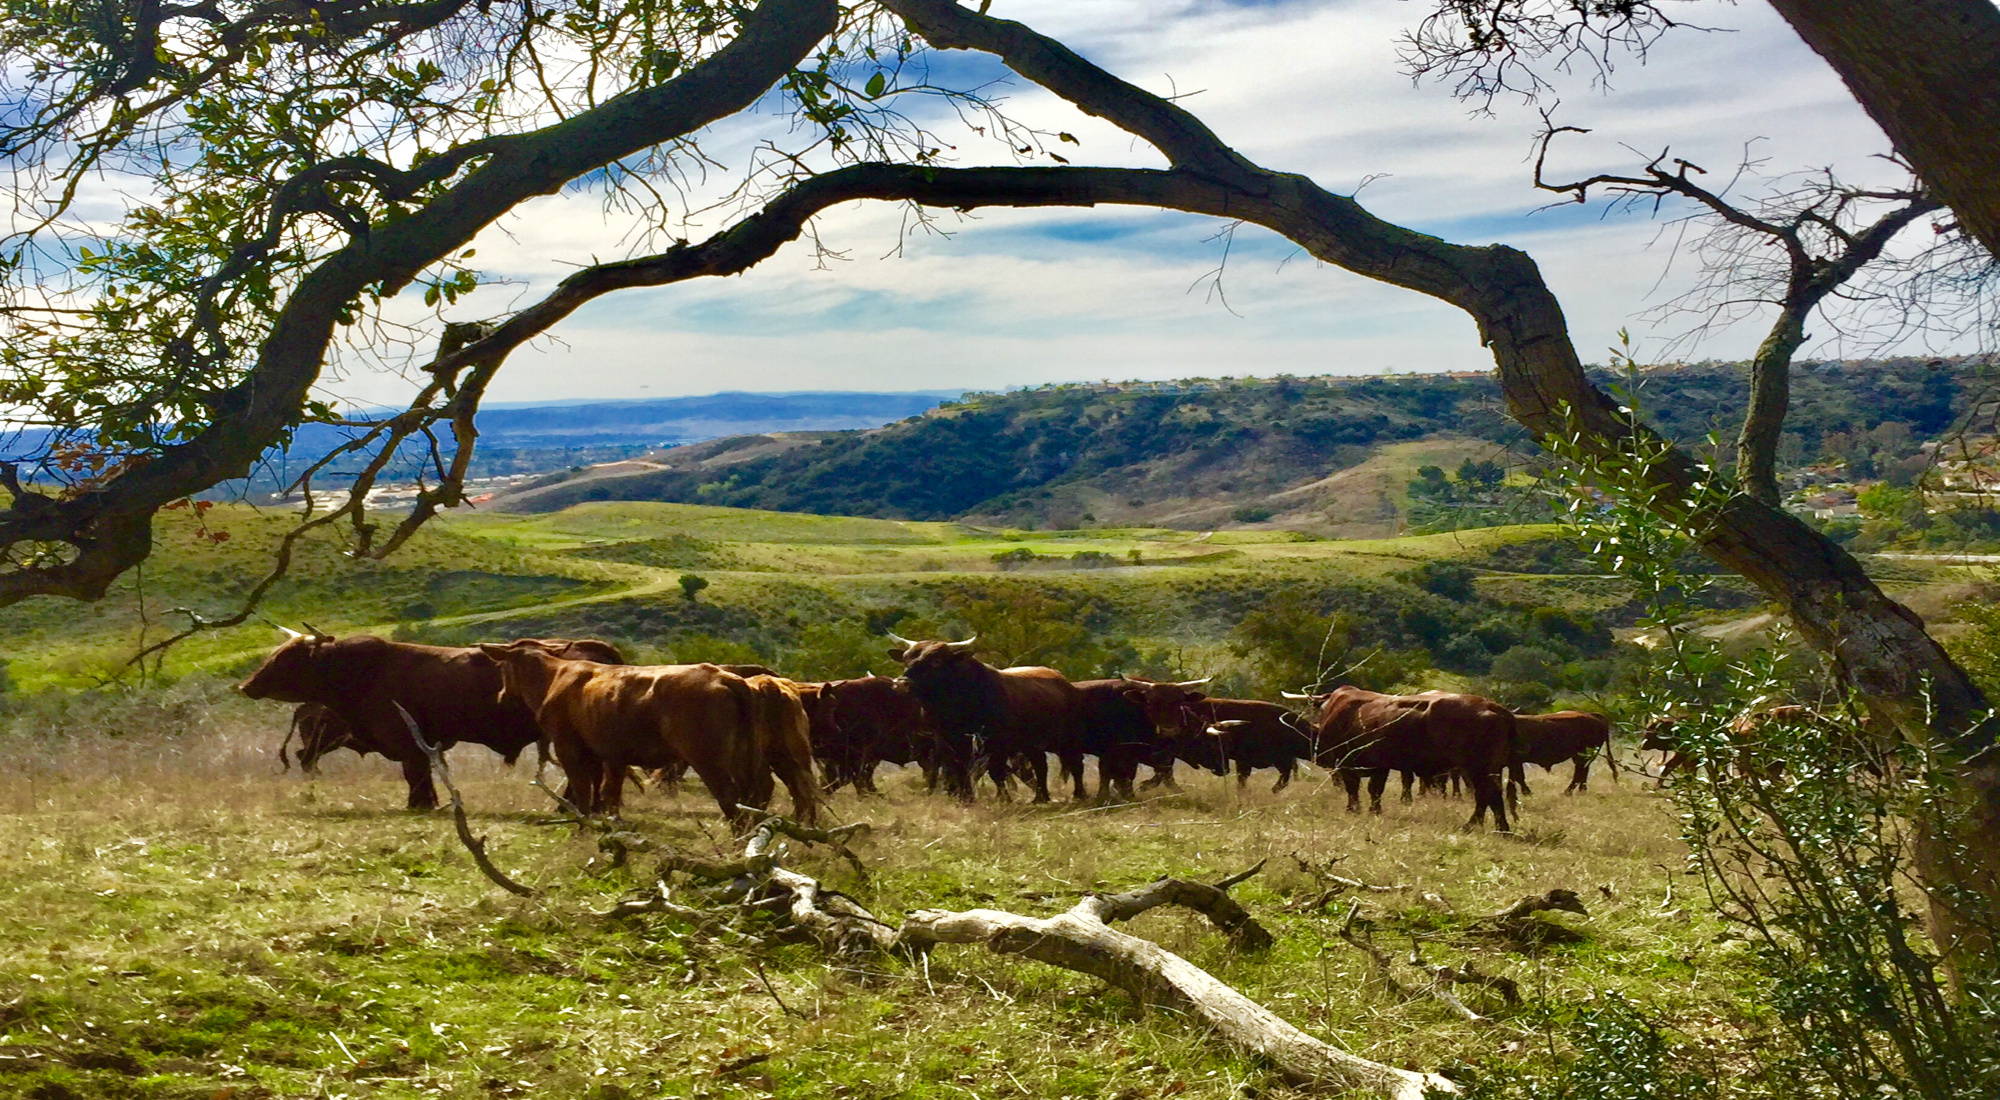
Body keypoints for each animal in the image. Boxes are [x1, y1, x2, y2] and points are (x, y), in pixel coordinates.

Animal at [239, 640, 624, 812]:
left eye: (284, 658)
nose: (246, 685)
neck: (363, 671)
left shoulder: (408, 743)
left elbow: (416, 775)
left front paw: (419, 804)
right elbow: (423, 773)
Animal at [478, 648, 820, 828]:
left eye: (504, 668)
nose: (501, 696)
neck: (557, 677)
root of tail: (726, 677)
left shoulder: (570, 749)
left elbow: (583, 792)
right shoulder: (612, 756)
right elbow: (609, 792)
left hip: (710, 759)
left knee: (733, 797)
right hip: (751, 756)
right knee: (765, 791)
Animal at [1296, 684, 1512, 832]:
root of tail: (1491, 706)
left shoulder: (1345, 762)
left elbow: (1354, 788)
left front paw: (1353, 809)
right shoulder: (1380, 765)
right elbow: (1375, 790)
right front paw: (1374, 811)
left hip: (1478, 768)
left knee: (1487, 793)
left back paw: (1485, 826)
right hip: (1487, 769)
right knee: (1489, 795)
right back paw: (1495, 827)